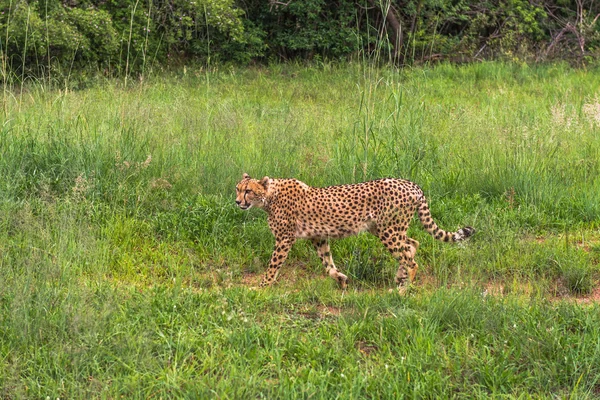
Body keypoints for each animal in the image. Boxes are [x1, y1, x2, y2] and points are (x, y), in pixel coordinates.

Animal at [234, 173, 474, 292]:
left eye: (248, 191)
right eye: (237, 189)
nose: (237, 202)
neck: (269, 196)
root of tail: (411, 184)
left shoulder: (284, 239)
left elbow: (273, 265)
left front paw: (262, 286)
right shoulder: (318, 237)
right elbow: (328, 264)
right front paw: (341, 280)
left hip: (388, 230)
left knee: (410, 258)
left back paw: (403, 289)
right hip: (385, 229)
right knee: (412, 245)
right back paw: (400, 278)